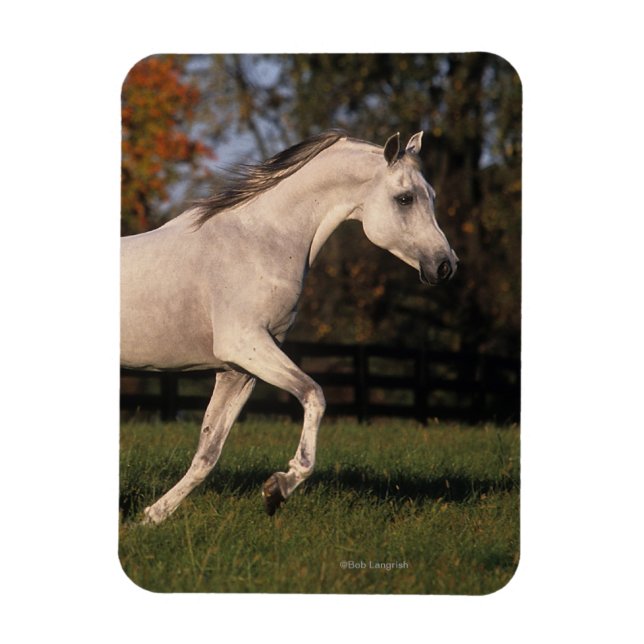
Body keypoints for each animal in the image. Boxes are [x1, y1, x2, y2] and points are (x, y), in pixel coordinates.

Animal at [121, 130, 458, 523]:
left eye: (432, 195)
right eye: (405, 198)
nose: (446, 265)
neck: (259, 241)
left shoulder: (238, 370)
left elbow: (208, 452)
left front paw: (152, 516)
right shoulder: (246, 345)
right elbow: (314, 394)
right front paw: (279, 487)